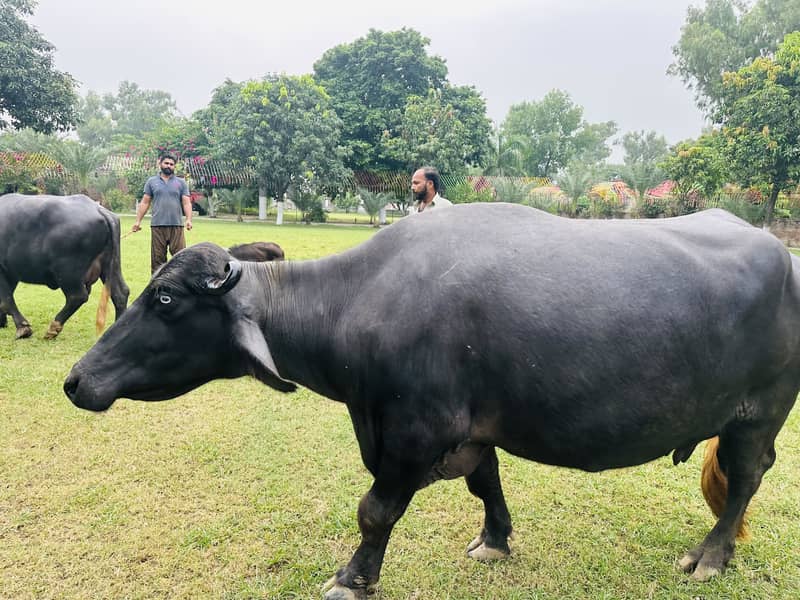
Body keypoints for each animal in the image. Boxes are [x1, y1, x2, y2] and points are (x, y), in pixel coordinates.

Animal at [0, 194, 129, 339]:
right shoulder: (11, 274)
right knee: (120, 293)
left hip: (68, 273)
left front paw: (23, 328)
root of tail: (98, 209)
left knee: (77, 296)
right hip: (110, 265)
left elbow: (6, 301)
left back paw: (53, 328)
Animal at [64, 204, 800, 599]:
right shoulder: (471, 431)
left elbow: (374, 511)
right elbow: (485, 484)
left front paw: (352, 576)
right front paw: (495, 540)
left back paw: (711, 555)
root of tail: (782, 254)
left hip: (759, 415)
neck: (361, 301)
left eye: (164, 299)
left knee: (745, 481)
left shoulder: (413, 434)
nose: (77, 380)